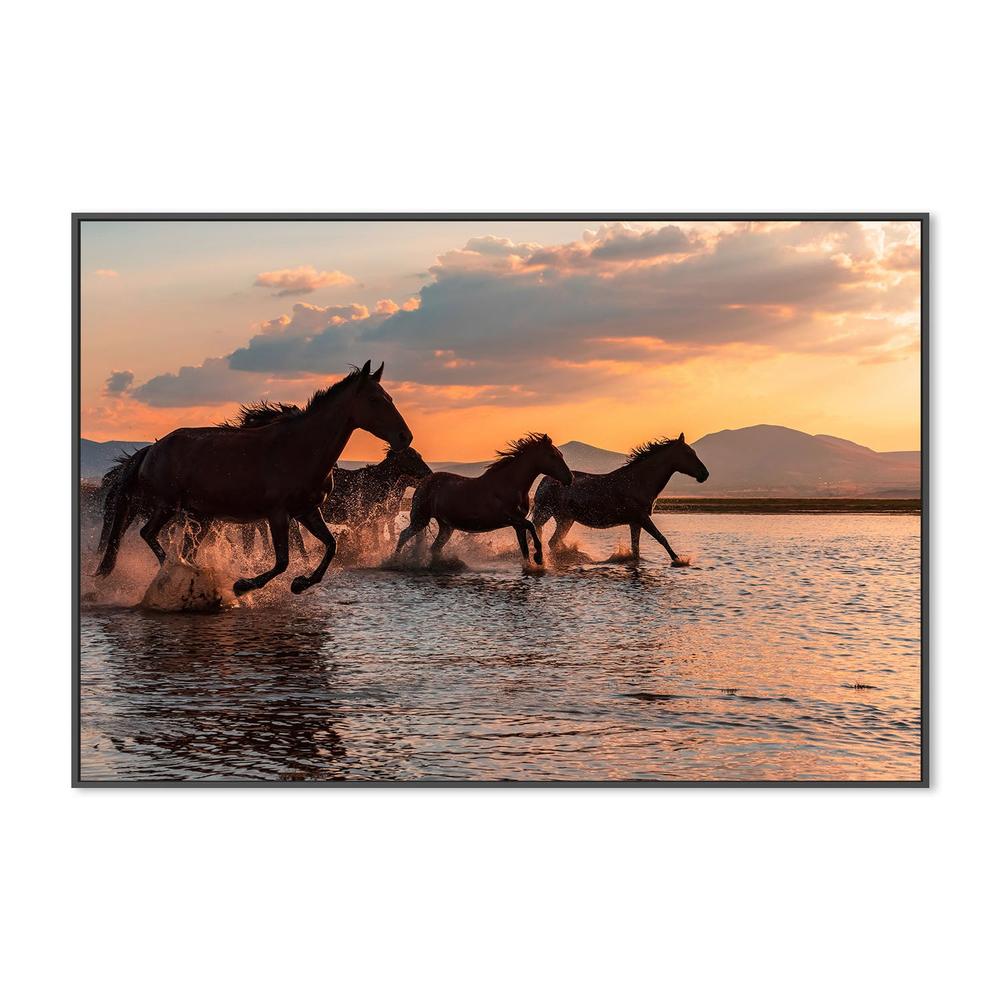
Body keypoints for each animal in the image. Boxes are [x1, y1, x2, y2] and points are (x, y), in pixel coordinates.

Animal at [96, 361, 412, 595]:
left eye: (391, 398)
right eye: (375, 399)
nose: (404, 436)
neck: (300, 448)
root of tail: (151, 449)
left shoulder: (308, 511)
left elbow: (331, 545)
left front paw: (301, 583)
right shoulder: (278, 514)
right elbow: (282, 560)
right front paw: (244, 585)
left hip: (199, 516)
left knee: (183, 547)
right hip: (168, 506)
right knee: (148, 533)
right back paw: (178, 572)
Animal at [395, 433, 572, 565]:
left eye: (560, 454)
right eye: (552, 456)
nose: (570, 478)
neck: (509, 484)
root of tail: (423, 482)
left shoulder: (517, 524)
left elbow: (524, 548)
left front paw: (532, 563)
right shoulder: (511, 518)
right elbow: (532, 526)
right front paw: (539, 558)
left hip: (446, 526)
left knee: (434, 548)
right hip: (420, 519)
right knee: (403, 535)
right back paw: (395, 561)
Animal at [531, 433, 709, 564]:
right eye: (688, 453)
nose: (705, 474)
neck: (640, 481)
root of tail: (545, 480)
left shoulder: (635, 522)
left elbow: (636, 550)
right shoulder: (642, 518)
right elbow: (662, 539)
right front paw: (679, 560)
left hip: (565, 519)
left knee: (552, 541)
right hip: (546, 514)